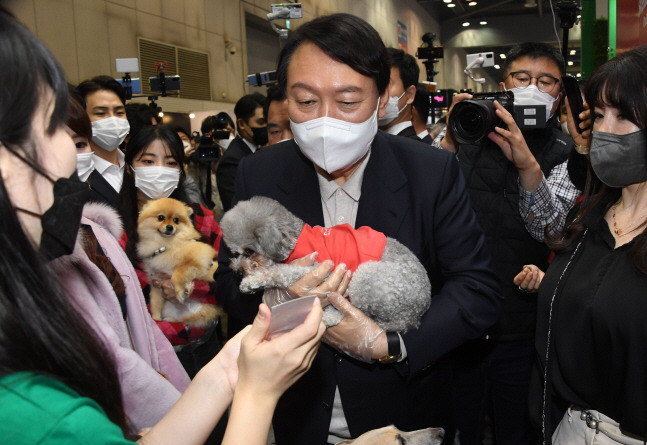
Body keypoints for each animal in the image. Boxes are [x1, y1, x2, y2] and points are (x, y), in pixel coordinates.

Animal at [136, 198, 220, 326]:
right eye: (161, 217)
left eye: (176, 220)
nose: (170, 227)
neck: (164, 246)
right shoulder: (155, 283)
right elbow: (155, 304)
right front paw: (156, 319)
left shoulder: (200, 256)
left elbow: (178, 272)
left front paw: (180, 292)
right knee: (182, 320)